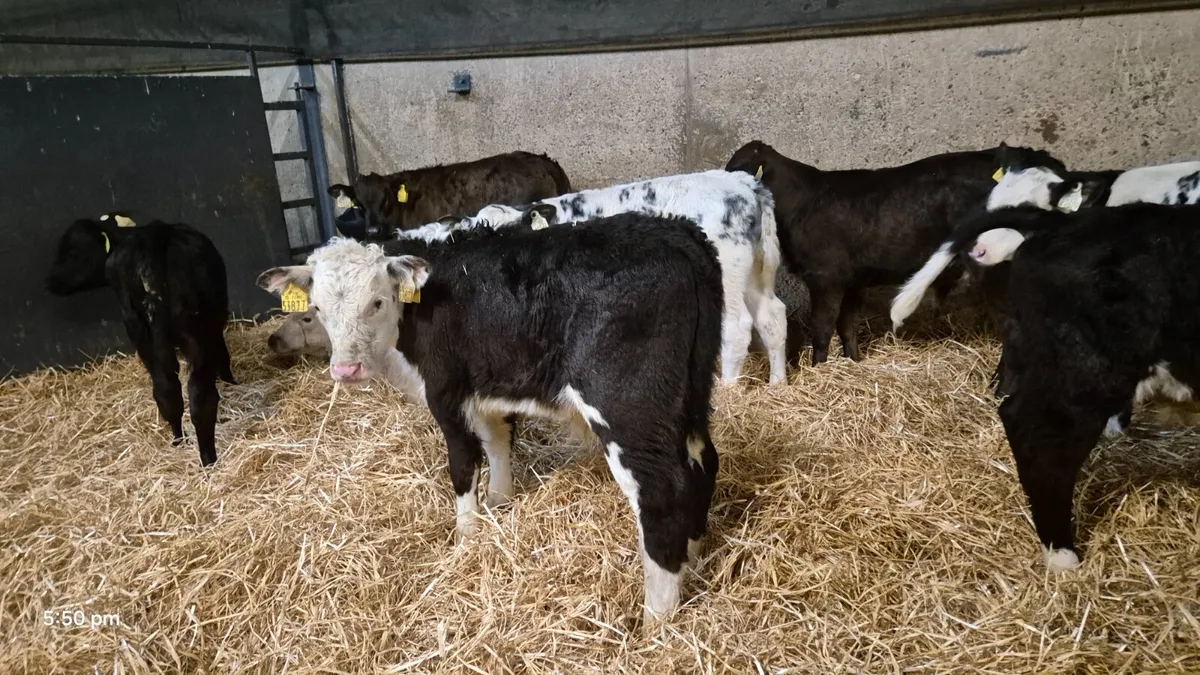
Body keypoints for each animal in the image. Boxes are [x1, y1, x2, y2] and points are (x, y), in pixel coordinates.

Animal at [45, 213, 235, 467]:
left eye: (73, 251)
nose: (50, 281)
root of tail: (157, 238)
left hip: (144, 331)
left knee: (173, 393)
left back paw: (187, 445)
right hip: (189, 331)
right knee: (191, 395)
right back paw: (201, 454)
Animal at [257, 212, 724, 623]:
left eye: (377, 301)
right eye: (317, 308)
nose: (346, 370)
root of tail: (674, 232)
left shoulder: (446, 392)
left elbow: (463, 465)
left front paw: (465, 536)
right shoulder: (484, 388)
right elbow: (498, 442)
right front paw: (500, 502)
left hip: (627, 406)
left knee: (660, 491)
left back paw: (656, 619)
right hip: (691, 395)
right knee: (703, 462)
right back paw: (693, 556)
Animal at [397, 169, 788, 386]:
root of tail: (741, 182)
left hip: (729, 273)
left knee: (737, 326)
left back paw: (730, 389)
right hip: (756, 273)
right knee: (772, 316)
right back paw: (777, 384)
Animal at [725, 140, 1065, 365]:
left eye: (734, 170)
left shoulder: (826, 277)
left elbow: (822, 327)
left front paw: (818, 367)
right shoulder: (853, 280)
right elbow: (847, 326)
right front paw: (854, 363)